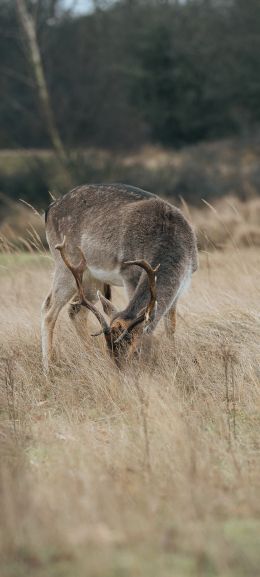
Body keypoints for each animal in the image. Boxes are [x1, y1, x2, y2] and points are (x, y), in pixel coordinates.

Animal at [41, 184, 198, 374]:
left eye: (135, 350)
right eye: (110, 350)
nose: (120, 371)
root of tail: (49, 209)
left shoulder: (182, 285)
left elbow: (171, 326)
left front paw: (174, 359)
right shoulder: (130, 274)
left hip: (90, 277)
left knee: (75, 311)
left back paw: (90, 358)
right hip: (64, 263)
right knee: (49, 309)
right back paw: (47, 368)